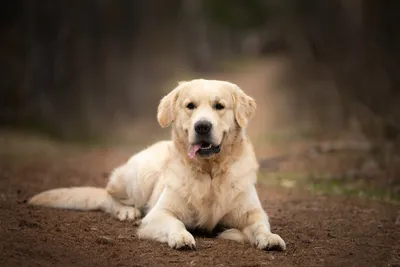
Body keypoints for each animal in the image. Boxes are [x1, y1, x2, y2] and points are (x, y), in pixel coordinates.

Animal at [30, 78, 288, 252]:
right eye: (190, 106)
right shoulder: (159, 214)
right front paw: (181, 237)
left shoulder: (252, 213)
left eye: (219, 106)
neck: (209, 173)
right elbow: (175, 223)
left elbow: (260, 225)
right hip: (139, 177)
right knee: (108, 197)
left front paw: (269, 238)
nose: (202, 126)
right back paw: (126, 211)